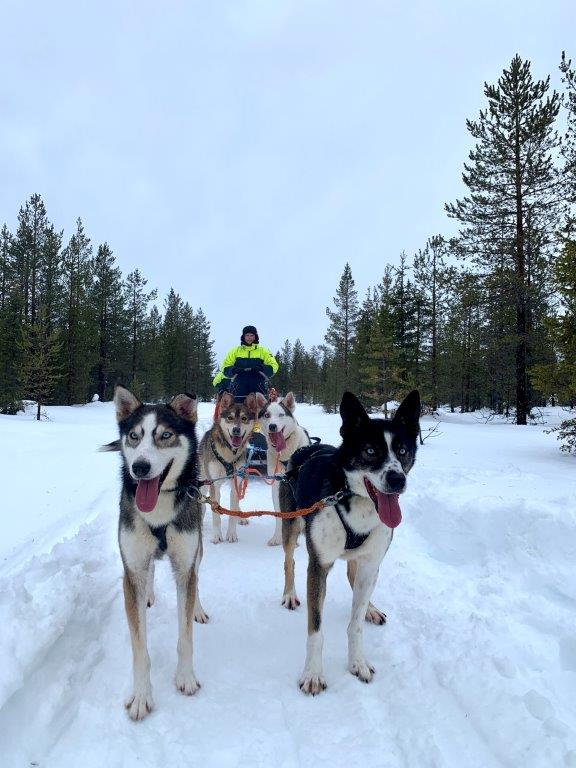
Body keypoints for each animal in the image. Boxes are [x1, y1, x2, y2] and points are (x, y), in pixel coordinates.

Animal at [109, 390, 206, 720]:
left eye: (165, 435)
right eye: (134, 436)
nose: (139, 467)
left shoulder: (184, 565)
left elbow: (186, 636)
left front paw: (186, 677)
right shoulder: (132, 571)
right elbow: (140, 648)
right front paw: (141, 695)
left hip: (197, 550)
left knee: (196, 578)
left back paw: (198, 607)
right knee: (150, 571)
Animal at [200, 392, 258, 544]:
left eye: (244, 418)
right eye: (230, 418)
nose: (236, 430)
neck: (229, 453)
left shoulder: (236, 482)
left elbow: (232, 512)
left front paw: (231, 534)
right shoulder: (214, 484)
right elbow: (215, 513)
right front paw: (216, 535)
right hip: (204, 481)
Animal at [255, 392, 310, 548]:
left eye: (281, 414)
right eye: (267, 415)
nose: (272, 426)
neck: (286, 454)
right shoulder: (277, 484)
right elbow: (279, 513)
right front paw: (277, 537)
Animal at [282, 390, 420, 696]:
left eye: (402, 451)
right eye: (370, 451)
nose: (397, 479)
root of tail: (305, 450)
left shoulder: (371, 563)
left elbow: (355, 625)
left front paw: (358, 662)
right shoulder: (318, 566)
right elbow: (316, 630)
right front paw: (313, 674)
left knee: (353, 576)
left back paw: (370, 608)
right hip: (290, 525)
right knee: (288, 561)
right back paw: (289, 594)